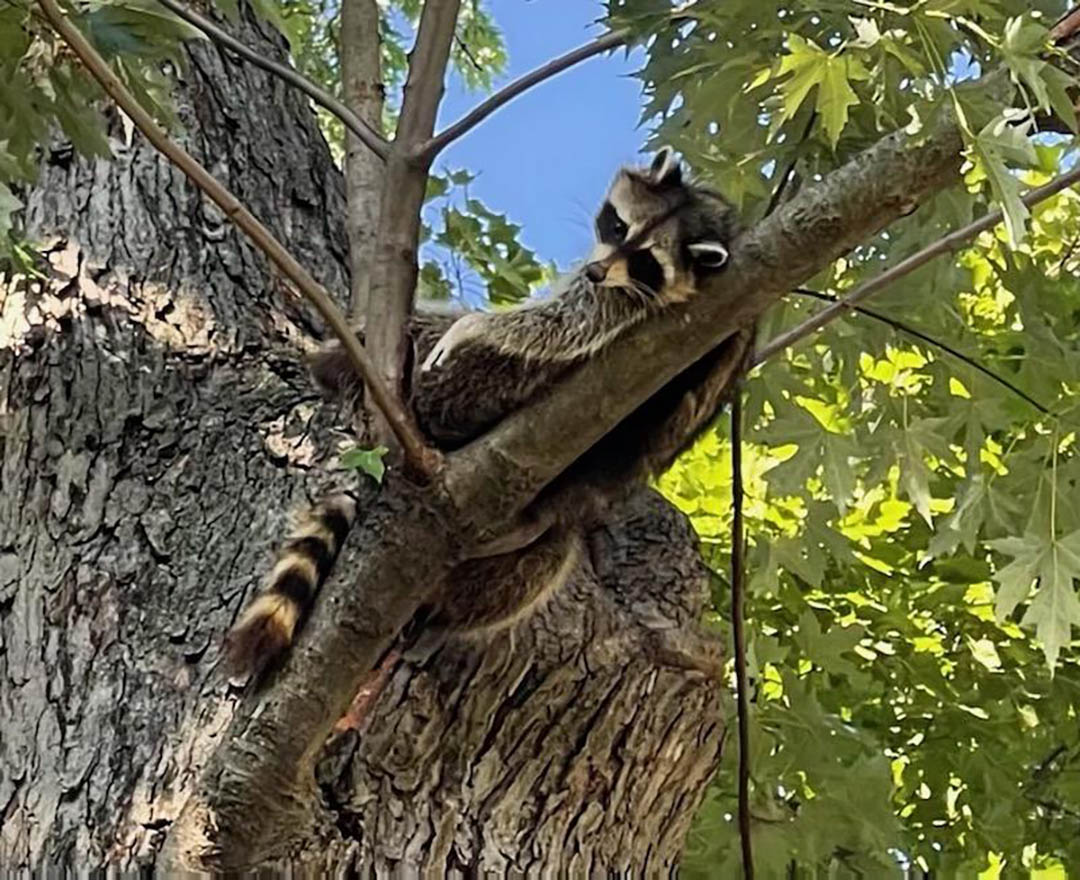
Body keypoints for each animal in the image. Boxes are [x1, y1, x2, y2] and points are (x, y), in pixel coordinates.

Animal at [225, 149, 746, 676]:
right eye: (619, 226)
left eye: (645, 260)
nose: (597, 273)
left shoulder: (643, 306)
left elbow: (565, 325)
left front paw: (477, 324)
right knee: (543, 561)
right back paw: (446, 618)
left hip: (461, 386)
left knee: (434, 336)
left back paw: (337, 360)